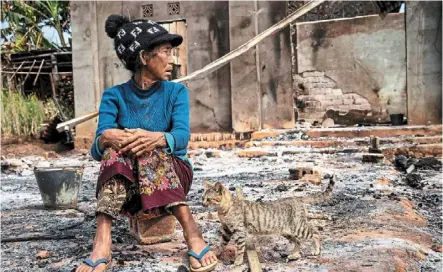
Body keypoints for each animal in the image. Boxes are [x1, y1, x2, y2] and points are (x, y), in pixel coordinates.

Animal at [203, 175, 334, 264]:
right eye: (202, 197)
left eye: (208, 199)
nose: (202, 203)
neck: (223, 210)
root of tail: (297, 198)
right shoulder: (226, 230)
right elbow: (221, 243)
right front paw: (216, 254)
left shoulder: (239, 231)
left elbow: (239, 248)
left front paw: (238, 262)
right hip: (287, 231)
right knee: (298, 241)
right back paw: (294, 255)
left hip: (299, 227)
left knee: (315, 233)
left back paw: (316, 251)